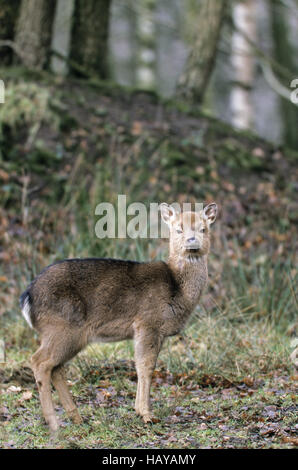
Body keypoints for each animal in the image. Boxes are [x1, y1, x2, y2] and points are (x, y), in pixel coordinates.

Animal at [20, 200, 217, 432]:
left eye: (203, 229)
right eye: (178, 229)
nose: (191, 241)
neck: (177, 288)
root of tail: (27, 298)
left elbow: (142, 365)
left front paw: (139, 410)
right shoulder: (147, 323)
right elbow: (146, 366)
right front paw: (146, 414)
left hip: (65, 334)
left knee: (56, 367)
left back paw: (76, 417)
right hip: (62, 327)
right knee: (39, 362)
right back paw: (53, 422)